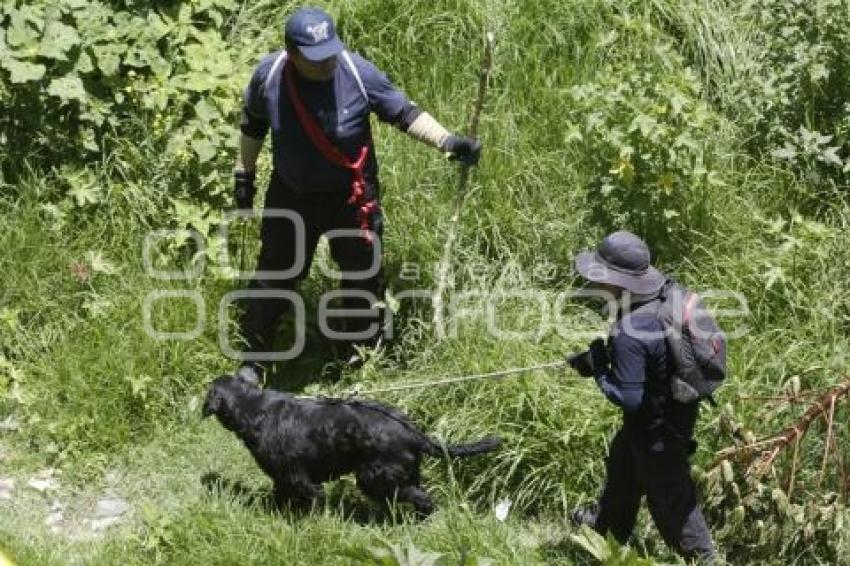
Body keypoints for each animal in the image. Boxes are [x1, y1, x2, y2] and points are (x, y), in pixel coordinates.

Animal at [202, 378, 500, 520]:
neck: (254, 408)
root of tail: (413, 432)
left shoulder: (298, 478)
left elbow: (311, 500)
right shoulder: (282, 479)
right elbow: (280, 498)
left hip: (374, 478)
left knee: (424, 499)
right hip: (403, 474)